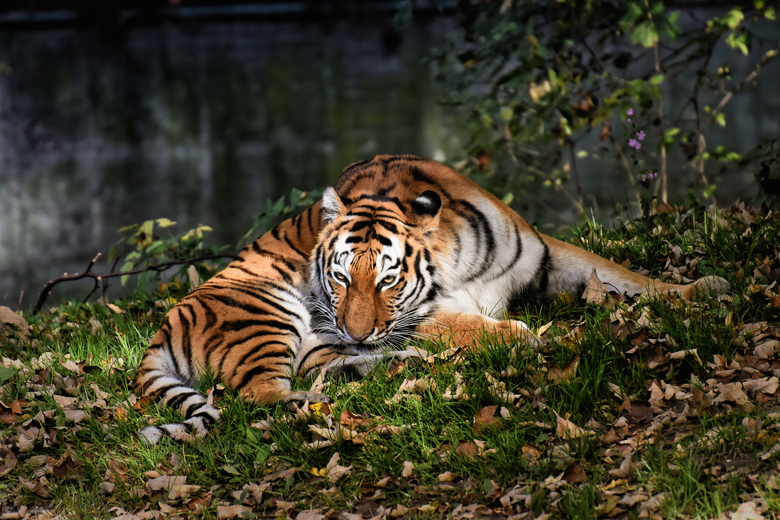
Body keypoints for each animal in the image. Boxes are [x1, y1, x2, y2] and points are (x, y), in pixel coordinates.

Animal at [133, 154, 724, 442]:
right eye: (341, 278)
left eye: (387, 280)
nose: (355, 331)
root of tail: (161, 329)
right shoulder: (424, 314)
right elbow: (469, 324)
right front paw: (521, 338)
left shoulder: (546, 258)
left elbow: (621, 273)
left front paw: (700, 288)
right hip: (267, 310)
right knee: (259, 395)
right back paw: (318, 404)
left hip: (315, 343)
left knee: (324, 369)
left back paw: (393, 368)